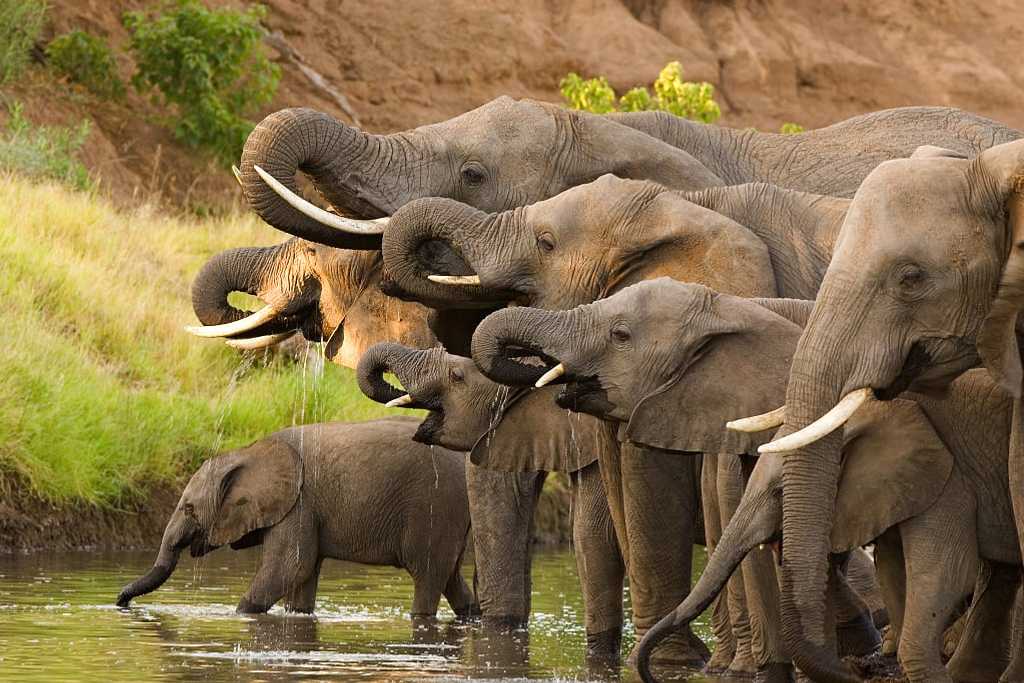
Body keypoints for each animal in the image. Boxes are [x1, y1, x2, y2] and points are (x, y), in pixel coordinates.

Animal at [117, 417, 477, 618]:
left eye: (189, 508)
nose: (120, 601)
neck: (248, 451)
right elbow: (301, 578)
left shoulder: (299, 504)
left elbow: (289, 568)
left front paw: (238, 614)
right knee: (451, 577)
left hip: (435, 506)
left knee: (428, 577)